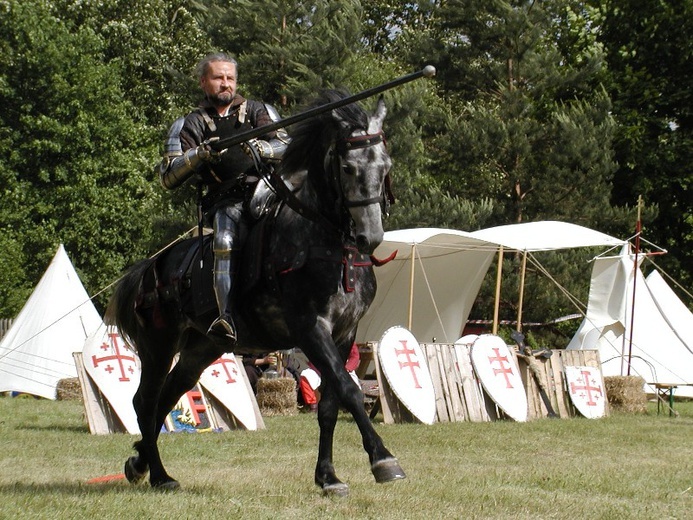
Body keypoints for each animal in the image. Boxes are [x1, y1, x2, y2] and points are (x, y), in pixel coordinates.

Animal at [105, 89, 402, 496]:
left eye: (384, 166)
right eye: (347, 168)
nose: (369, 238)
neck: (321, 240)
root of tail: (150, 268)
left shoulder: (344, 335)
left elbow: (330, 405)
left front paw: (328, 477)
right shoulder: (311, 331)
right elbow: (350, 390)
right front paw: (383, 459)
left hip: (201, 349)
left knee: (166, 396)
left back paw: (140, 464)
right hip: (158, 346)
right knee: (146, 402)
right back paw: (161, 475)